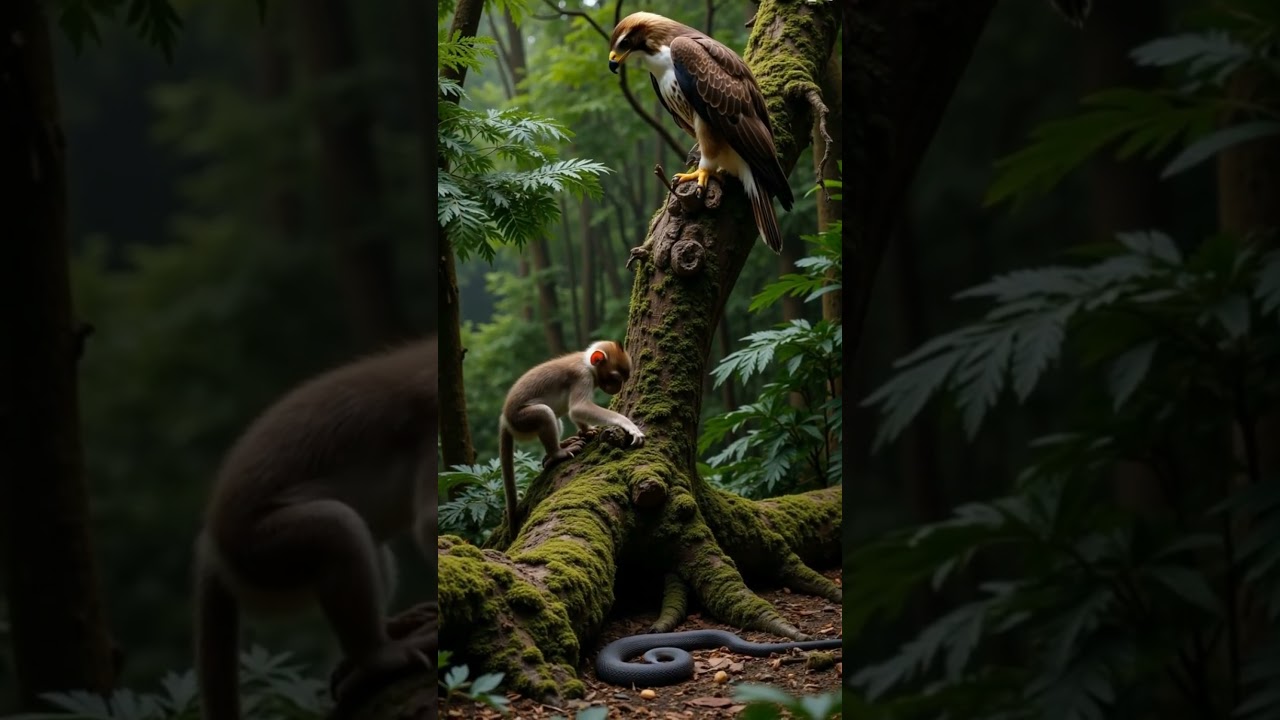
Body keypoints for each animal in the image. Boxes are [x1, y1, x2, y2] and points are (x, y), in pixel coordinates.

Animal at [193, 337, 438, 720]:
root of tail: (213, 546)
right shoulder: (433, 420)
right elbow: (429, 523)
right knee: (338, 528)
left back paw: (389, 631)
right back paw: (380, 655)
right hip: (259, 549)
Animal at [498, 341, 645, 533]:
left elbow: (577, 412)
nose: (618, 388)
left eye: (623, 379)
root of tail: (505, 419)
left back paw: (562, 445)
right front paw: (629, 425)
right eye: (615, 378)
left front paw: (587, 430)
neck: (587, 364)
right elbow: (578, 408)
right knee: (545, 413)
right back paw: (557, 453)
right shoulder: (582, 377)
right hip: (521, 420)